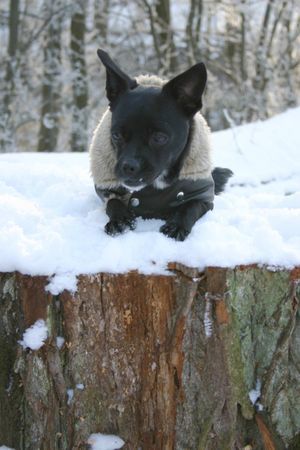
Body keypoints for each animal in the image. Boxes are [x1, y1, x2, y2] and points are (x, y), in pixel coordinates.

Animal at [89, 49, 232, 241]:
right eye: (116, 135)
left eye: (159, 138)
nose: (128, 166)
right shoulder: (109, 189)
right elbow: (113, 202)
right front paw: (119, 219)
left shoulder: (203, 197)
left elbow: (189, 207)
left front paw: (177, 224)